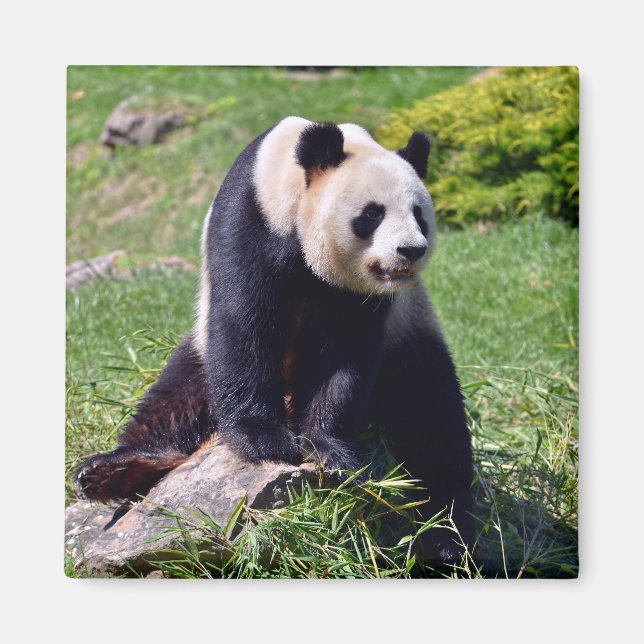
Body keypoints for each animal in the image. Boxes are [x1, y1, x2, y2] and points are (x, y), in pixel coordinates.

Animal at [77, 116, 474, 565]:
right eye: (372, 214)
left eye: (420, 215)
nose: (410, 250)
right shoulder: (249, 222)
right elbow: (243, 325)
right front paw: (265, 442)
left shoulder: (366, 299)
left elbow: (343, 356)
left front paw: (329, 448)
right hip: (198, 353)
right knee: (176, 398)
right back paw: (112, 471)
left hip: (409, 339)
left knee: (432, 422)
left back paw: (445, 537)